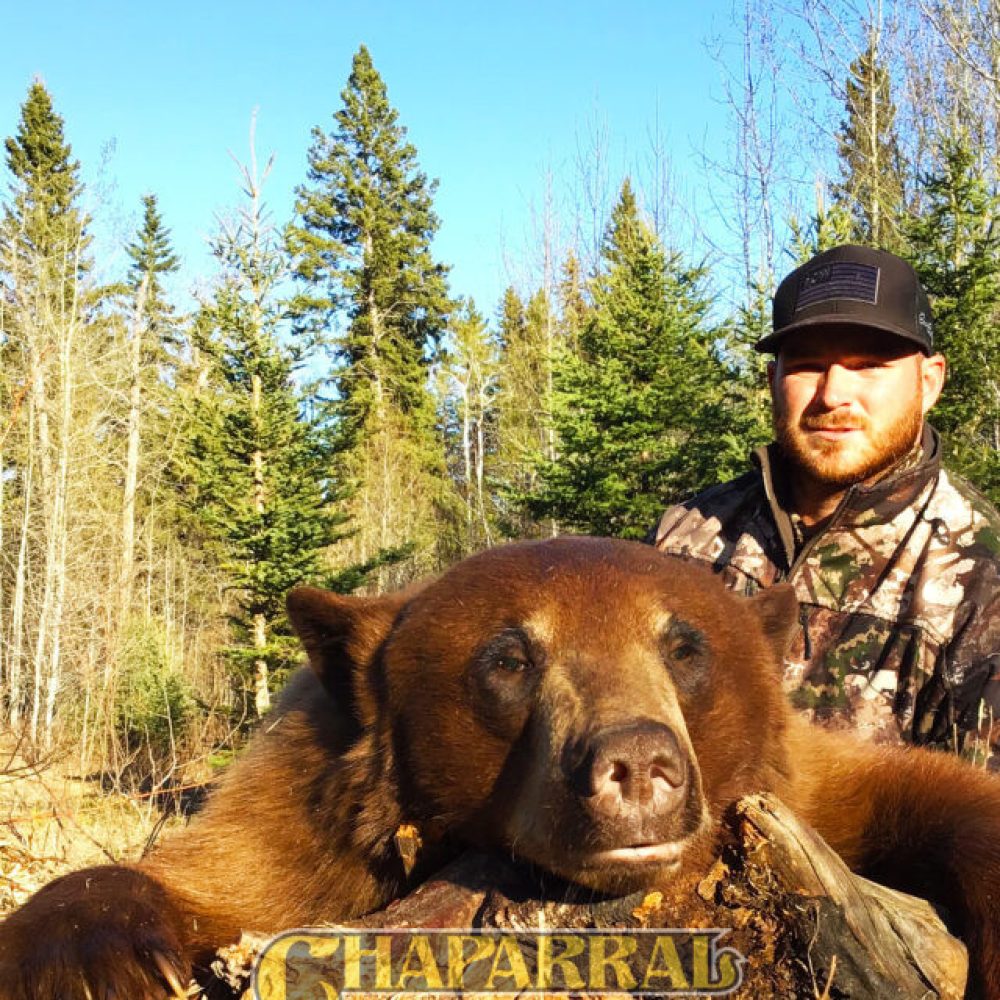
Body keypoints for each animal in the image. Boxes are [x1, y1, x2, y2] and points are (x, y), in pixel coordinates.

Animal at [0, 536, 998, 998]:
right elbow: (224, 883)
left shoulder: (799, 787)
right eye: (510, 658)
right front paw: (87, 958)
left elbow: (921, 790)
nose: (638, 762)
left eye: (684, 645)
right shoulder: (308, 817)